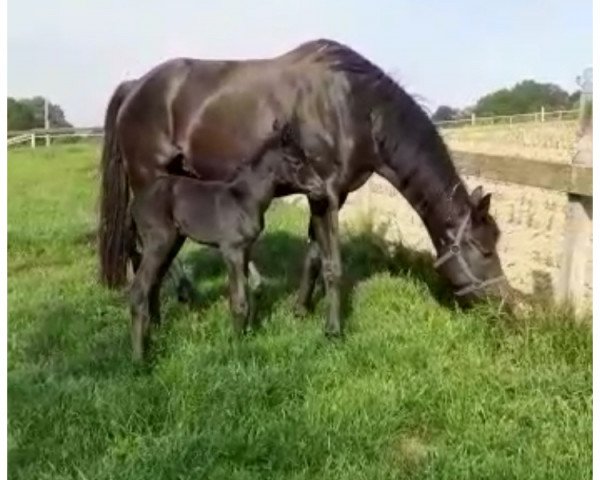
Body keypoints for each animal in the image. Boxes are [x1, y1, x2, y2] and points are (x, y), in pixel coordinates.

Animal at [127, 122, 324, 362]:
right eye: (296, 160)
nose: (320, 187)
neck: (245, 198)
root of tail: (135, 204)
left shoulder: (246, 249)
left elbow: (249, 291)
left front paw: (247, 332)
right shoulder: (232, 250)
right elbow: (238, 299)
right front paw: (236, 346)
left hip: (173, 242)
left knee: (152, 285)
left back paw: (154, 333)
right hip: (159, 242)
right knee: (139, 290)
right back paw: (140, 357)